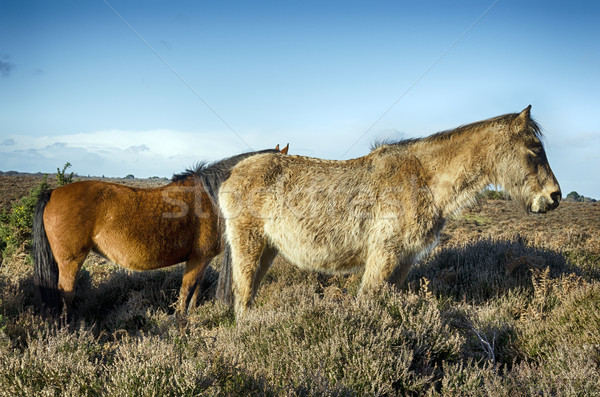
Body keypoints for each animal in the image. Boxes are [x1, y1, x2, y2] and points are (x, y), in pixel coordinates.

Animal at [32, 144, 290, 314]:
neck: (210, 197)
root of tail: (52, 192)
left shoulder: (203, 259)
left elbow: (195, 293)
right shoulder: (197, 259)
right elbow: (186, 292)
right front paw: (180, 326)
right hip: (70, 261)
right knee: (66, 295)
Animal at [219, 105, 564, 316]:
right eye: (534, 148)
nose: (554, 196)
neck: (424, 178)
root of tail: (231, 175)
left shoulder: (403, 260)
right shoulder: (384, 255)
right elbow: (368, 303)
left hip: (267, 249)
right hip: (249, 246)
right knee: (243, 295)